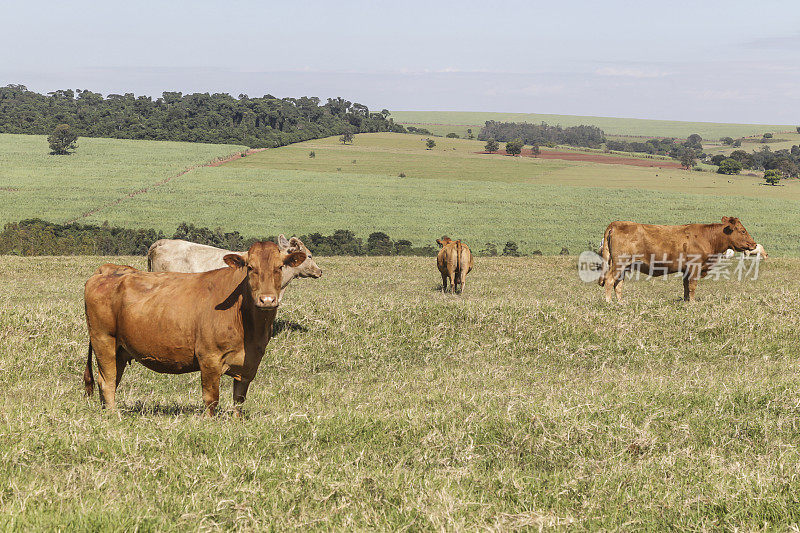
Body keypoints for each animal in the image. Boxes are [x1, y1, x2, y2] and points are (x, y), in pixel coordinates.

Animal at [82, 241, 306, 416]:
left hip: (120, 350)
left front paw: (236, 421)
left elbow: (239, 399)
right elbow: (211, 397)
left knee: (112, 381)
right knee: (107, 381)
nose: (267, 300)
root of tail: (108, 269)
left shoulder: (250, 362)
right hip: (104, 341)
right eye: (250, 267)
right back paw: (113, 416)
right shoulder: (209, 358)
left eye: (280, 267)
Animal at [600, 215, 756, 300]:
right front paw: (692, 303)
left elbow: (686, 287)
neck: (708, 238)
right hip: (619, 264)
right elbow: (692, 286)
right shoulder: (694, 267)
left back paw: (621, 303)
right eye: (743, 231)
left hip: (624, 266)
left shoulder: (686, 270)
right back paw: (609, 302)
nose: (754, 244)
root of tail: (616, 223)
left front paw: (686, 302)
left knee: (618, 284)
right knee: (609, 281)